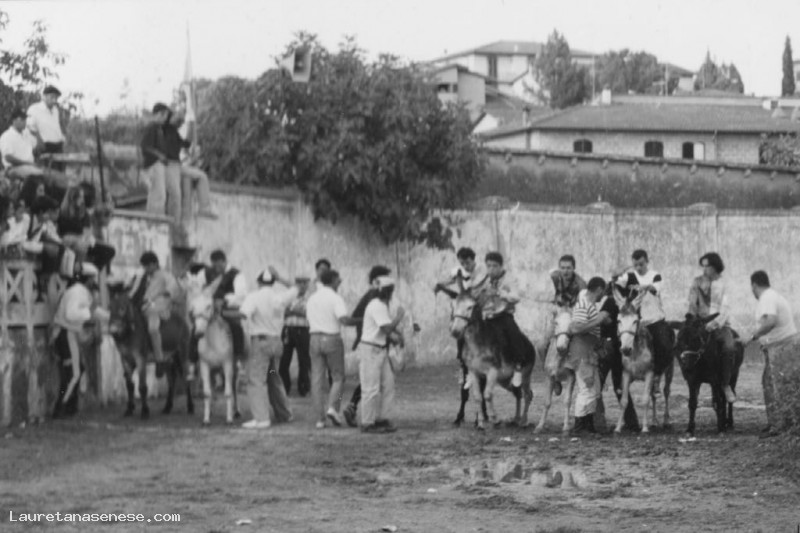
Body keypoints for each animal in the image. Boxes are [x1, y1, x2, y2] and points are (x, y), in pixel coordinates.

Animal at [107, 283, 193, 419]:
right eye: (109, 307)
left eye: (122, 308)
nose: (113, 330)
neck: (129, 333)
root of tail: (182, 320)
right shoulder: (125, 359)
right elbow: (129, 385)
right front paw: (129, 410)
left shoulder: (140, 359)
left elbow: (142, 386)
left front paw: (145, 411)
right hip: (167, 359)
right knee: (172, 380)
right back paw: (167, 407)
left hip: (182, 353)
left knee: (186, 377)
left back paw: (190, 407)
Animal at [187, 285, 237, 425]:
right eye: (193, 307)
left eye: (208, 306)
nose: (198, 333)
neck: (213, 342)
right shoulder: (205, 366)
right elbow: (207, 393)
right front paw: (206, 419)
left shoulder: (227, 365)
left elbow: (228, 392)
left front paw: (229, 419)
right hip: (213, 371)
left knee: (234, 388)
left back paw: (236, 412)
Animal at [449, 281, 535, 430]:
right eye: (454, 305)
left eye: (469, 306)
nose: (455, 331)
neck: (478, 345)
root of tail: (531, 346)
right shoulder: (473, 372)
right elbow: (478, 396)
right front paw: (480, 424)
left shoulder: (492, 372)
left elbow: (488, 395)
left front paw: (495, 420)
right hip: (505, 380)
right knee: (517, 392)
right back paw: (516, 419)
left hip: (525, 374)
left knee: (528, 394)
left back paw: (523, 421)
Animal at [534, 305, 577, 434]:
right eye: (556, 323)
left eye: (571, 324)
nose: (561, 347)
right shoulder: (549, 377)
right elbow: (547, 402)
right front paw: (540, 426)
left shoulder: (571, 377)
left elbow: (567, 401)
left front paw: (566, 428)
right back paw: (557, 387)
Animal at [613, 287, 674, 434]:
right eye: (618, 321)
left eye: (635, 321)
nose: (625, 349)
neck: (635, 351)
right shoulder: (626, 373)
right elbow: (624, 400)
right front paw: (618, 428)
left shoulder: (649, 373)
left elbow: (645, 399)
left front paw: (645, 428)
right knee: (654, 394)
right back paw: (654, 421)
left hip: (670, 367)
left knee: (666, 391)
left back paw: (666, 421)